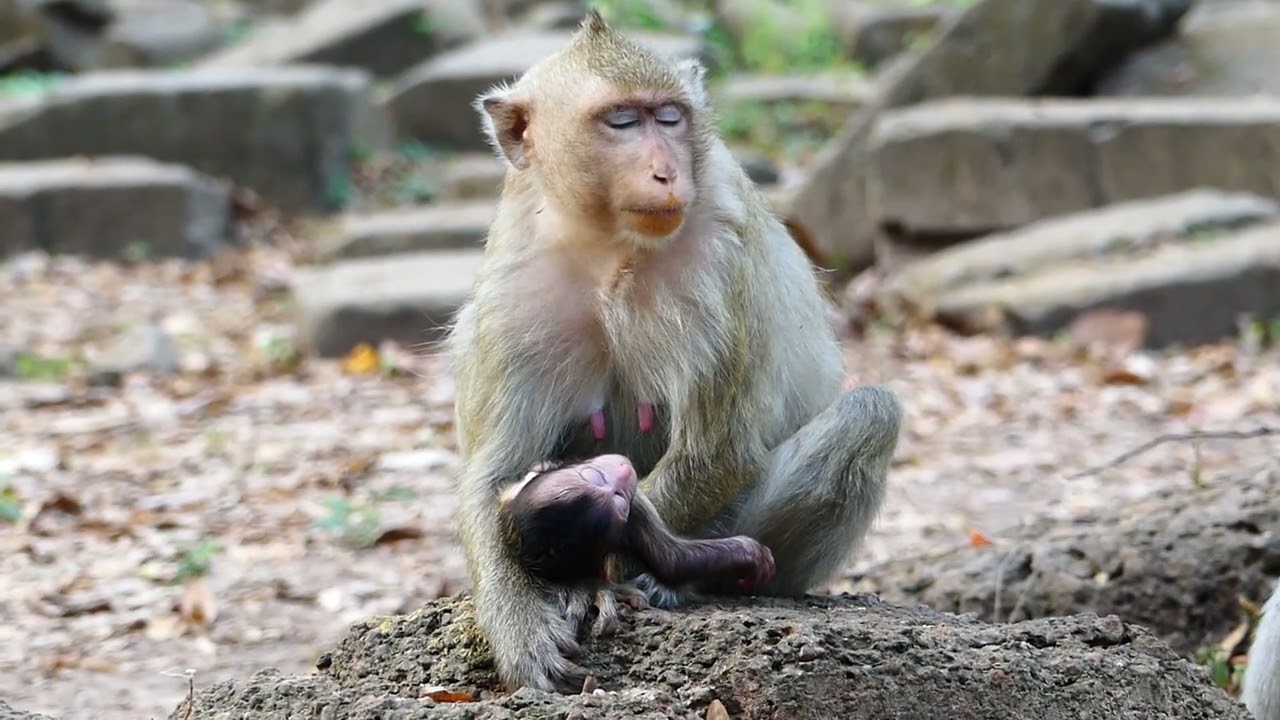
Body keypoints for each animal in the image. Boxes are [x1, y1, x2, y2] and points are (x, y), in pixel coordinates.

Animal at [446, 9, 903, 694]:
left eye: (668, 117)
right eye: (621, 121)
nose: (666, 171)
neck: (609, 246)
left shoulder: (718, 263)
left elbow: (716, 453)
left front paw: (592, 573)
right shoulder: (514, 289)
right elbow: (495, 475)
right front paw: (521, 620)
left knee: (869, 414)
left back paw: (680, 581)